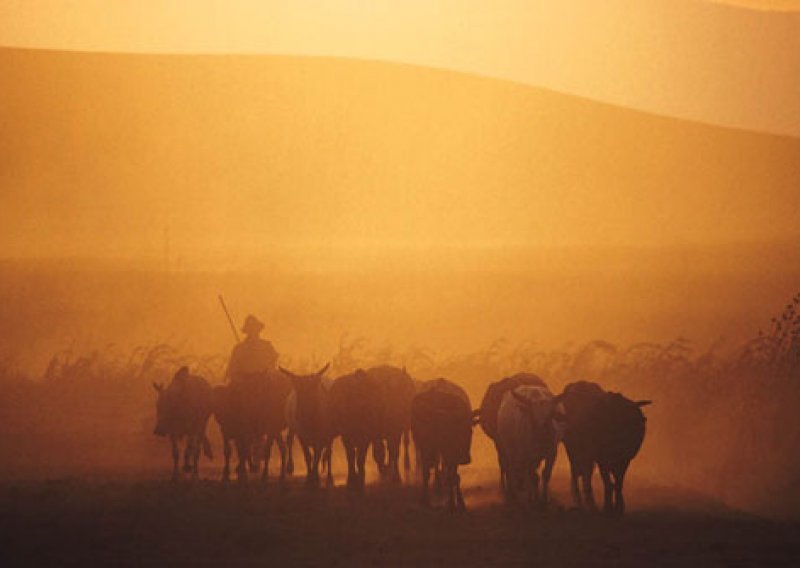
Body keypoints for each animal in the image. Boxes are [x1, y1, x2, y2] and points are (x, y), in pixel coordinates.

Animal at [412, 378, 476, 510]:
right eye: (451, 430)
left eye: (470, 431)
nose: (465, 458)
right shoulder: (426, 449)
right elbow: (426, 474)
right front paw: (424, 500)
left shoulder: (451, 455)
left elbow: (454, 477)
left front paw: (456, 502)